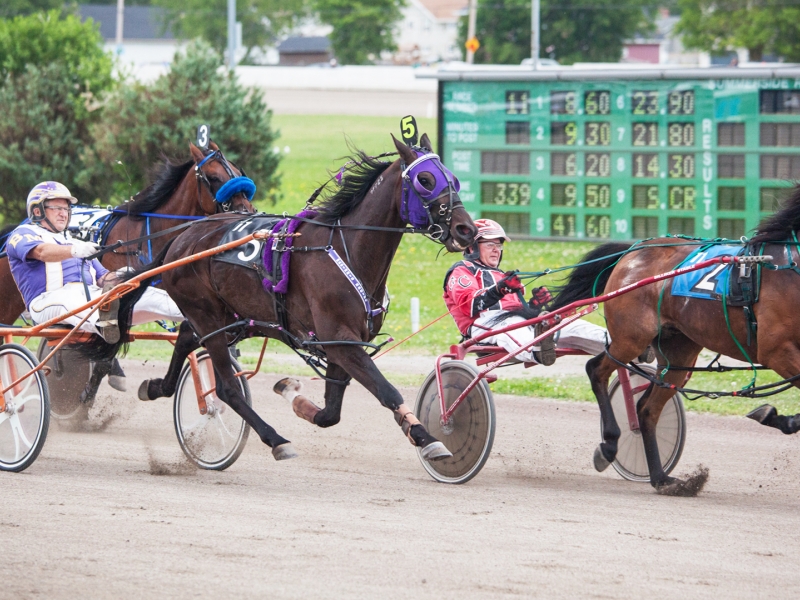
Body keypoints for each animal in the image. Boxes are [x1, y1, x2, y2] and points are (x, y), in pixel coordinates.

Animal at [552, 184, 800, 496]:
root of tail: (634, 251)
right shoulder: (777, 351)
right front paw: (771, 414)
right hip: (630, 337)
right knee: (596, 370)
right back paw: (609, 445)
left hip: (679, 352)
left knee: (646, 409)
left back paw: (662, 478)